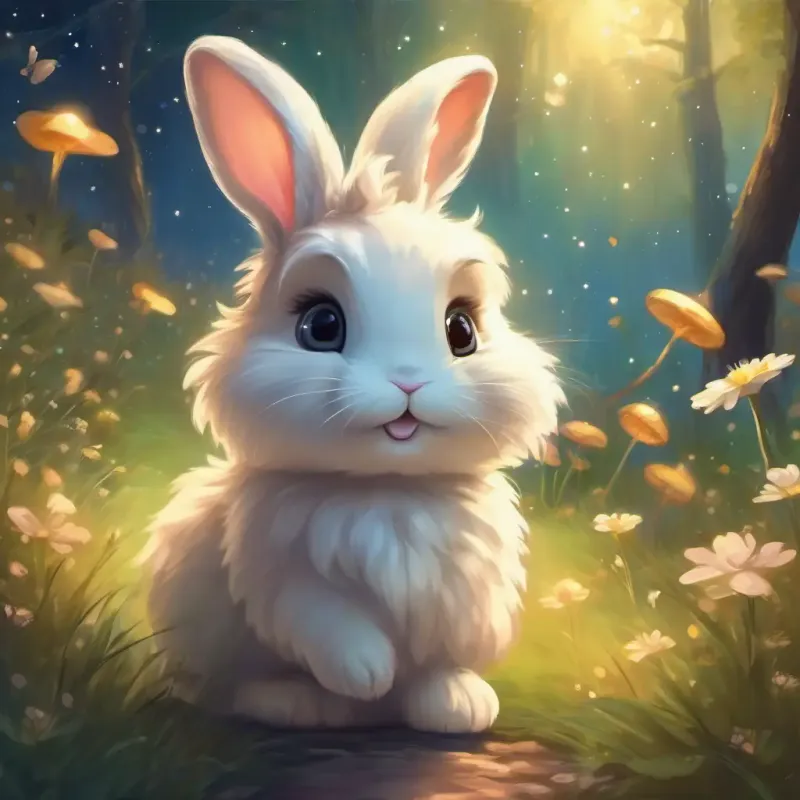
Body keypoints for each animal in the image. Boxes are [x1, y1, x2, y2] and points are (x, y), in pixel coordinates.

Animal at [143, 35, 566, 734]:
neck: (386, 490)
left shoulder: (461, 597)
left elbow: (438, 663)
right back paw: (297, 703)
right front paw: (367, 675)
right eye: (321, 325)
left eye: (461, 329)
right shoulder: (281, 577)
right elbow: (326, 622)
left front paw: (458, 706)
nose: (408, 383)